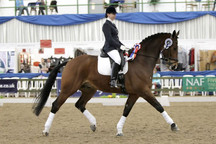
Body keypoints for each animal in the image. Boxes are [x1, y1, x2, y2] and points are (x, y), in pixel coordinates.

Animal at [33, 30, 180, 136]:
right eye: (173, 47)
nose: (174, 66)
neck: (141, 61)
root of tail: (69, 61)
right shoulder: (144, 91)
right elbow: (159, 106)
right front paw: (173, 125)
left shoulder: (135, 93)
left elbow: (126, 110)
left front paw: (119, 130)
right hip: (68, 89)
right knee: (56, 105)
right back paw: (46, 130)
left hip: (89, 89)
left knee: (80, 104)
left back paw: (93, 124)